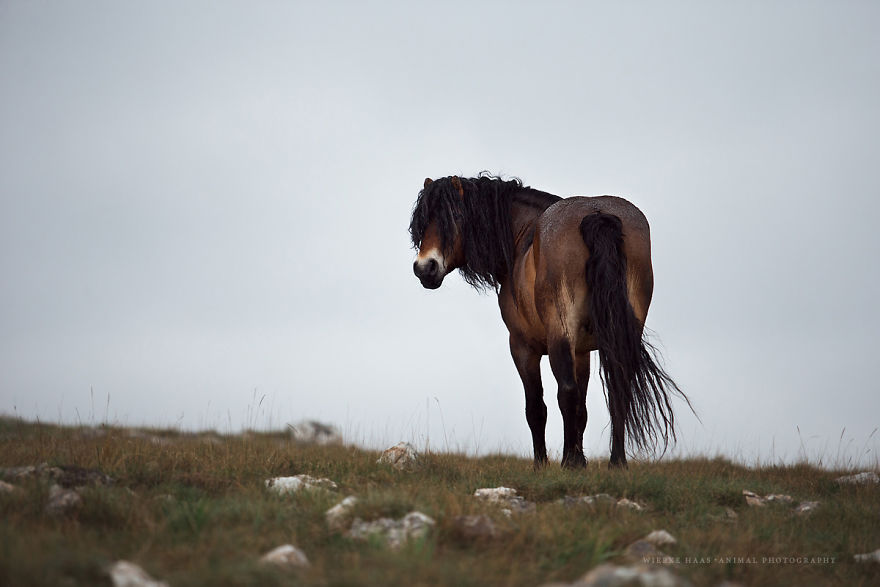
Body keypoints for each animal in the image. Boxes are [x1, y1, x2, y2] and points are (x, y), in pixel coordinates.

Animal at [409, 173, 691, 469]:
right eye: (423, 222)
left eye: (455, 215)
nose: (424, 267)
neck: (523, 239)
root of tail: (597, 214)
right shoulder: (582, 351)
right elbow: (582, 409)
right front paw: (580, 459)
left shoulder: (522, 347)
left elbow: (536, 407)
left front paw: (543, 464)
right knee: (618, 390)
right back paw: (616, 462)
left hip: (560, 332)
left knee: (566, 392)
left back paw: (569, 462)